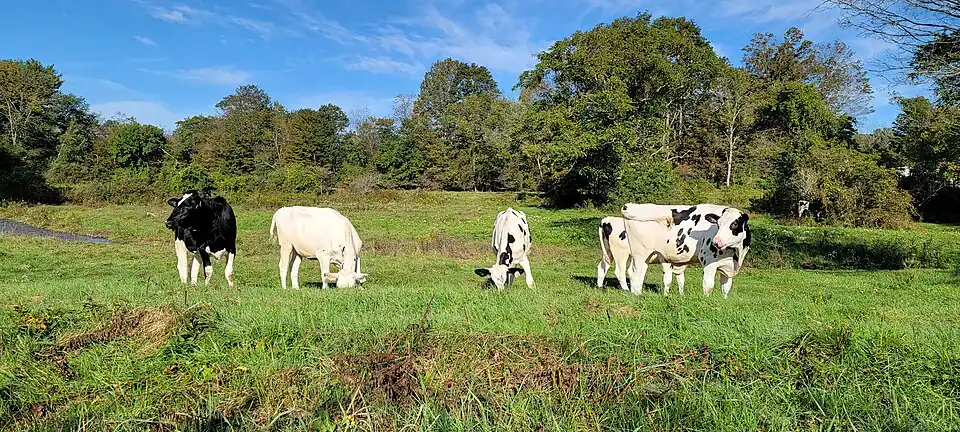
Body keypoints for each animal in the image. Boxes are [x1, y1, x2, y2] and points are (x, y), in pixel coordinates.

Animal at [619, 203, 752, 298]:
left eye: (734, 224)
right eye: (718, 224)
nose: (716, 242)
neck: (736, 254)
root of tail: (631, 205)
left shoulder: (728, 267)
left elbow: (725, 288)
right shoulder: (708, 262)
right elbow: (708, 286)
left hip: (647, 256)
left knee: (637, 273)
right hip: (640, 254)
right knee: (635, 274)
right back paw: (637, 295)